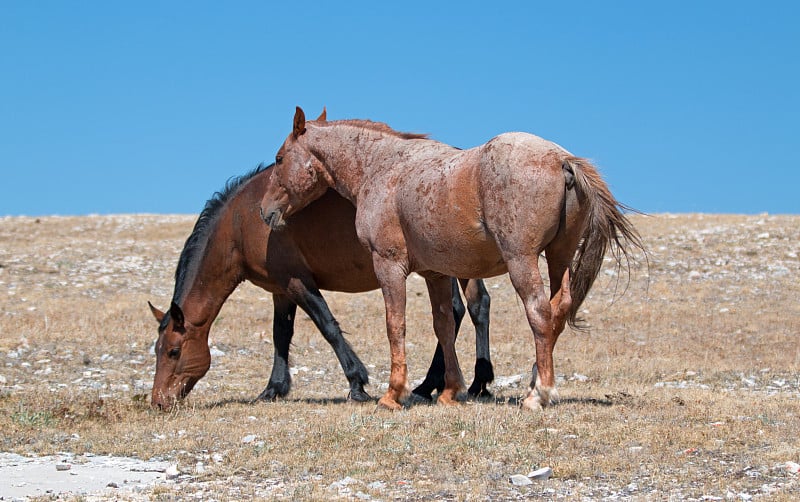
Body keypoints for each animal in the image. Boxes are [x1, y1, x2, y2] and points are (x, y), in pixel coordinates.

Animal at [147, 163, 490, 410]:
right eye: (157, 351)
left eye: (174, 351)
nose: (159, 401)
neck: (241, 223)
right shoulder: (280, 290)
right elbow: (281, 335)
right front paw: (273, 388)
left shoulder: (297, 281)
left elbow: (328, 327)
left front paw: (357, 384)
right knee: (475, 306)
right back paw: (475, 384)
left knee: (457, 311)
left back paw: (434, 385)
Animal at [260, 108, 644, 410]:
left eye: (278, 159)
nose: (265, 211)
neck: (382, 167)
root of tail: (561, 159)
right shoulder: (436, 273)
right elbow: (443, 325)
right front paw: (450, 391)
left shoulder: (389, 265)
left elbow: (395, 324)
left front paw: (394, 394)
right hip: (558, 258)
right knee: (558, 309)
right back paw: (535, 383)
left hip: (522, 261)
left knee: (539, 311)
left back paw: (539, 394)